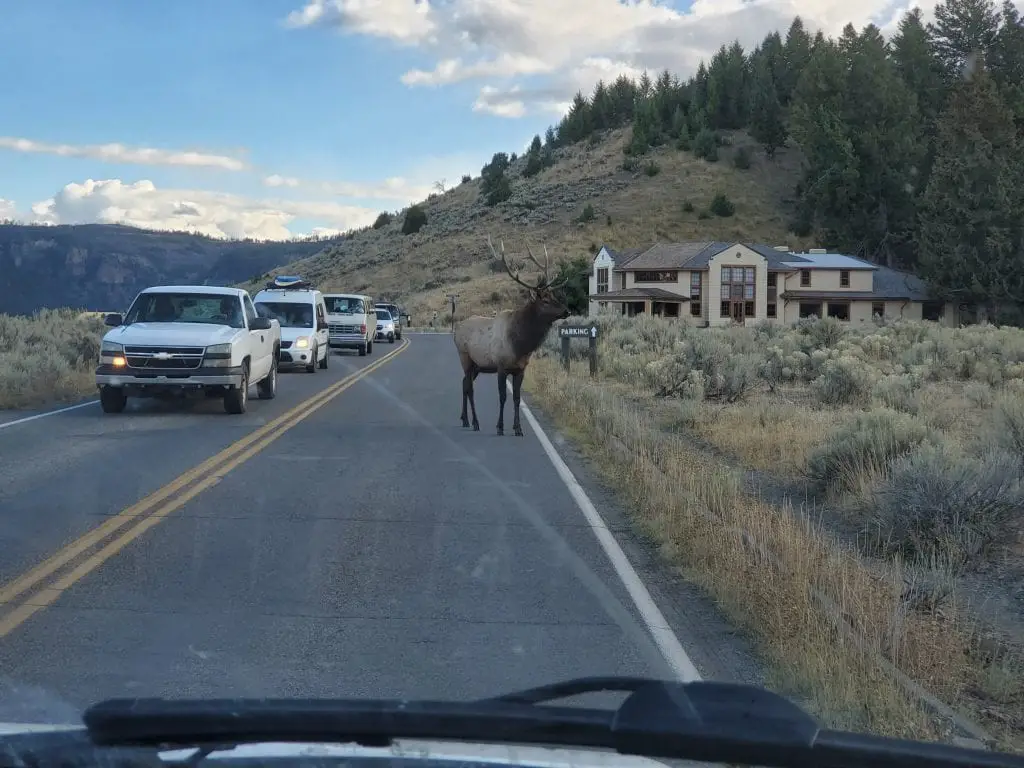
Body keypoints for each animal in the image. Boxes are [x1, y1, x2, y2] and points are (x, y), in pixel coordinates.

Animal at [454, 234, 569, 438]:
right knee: (469, 387)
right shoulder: (501, 365)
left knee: (464, 384)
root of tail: (455, 329)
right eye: (545, 300)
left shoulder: (520, 369)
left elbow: (516, 398)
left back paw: (465, 419)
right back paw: (475, 422)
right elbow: (502, 397)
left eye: (555, 295)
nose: (567, 311)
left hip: (477, 365)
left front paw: (518, 428)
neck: (521, 345)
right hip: (465, 357)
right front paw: (500, 427)